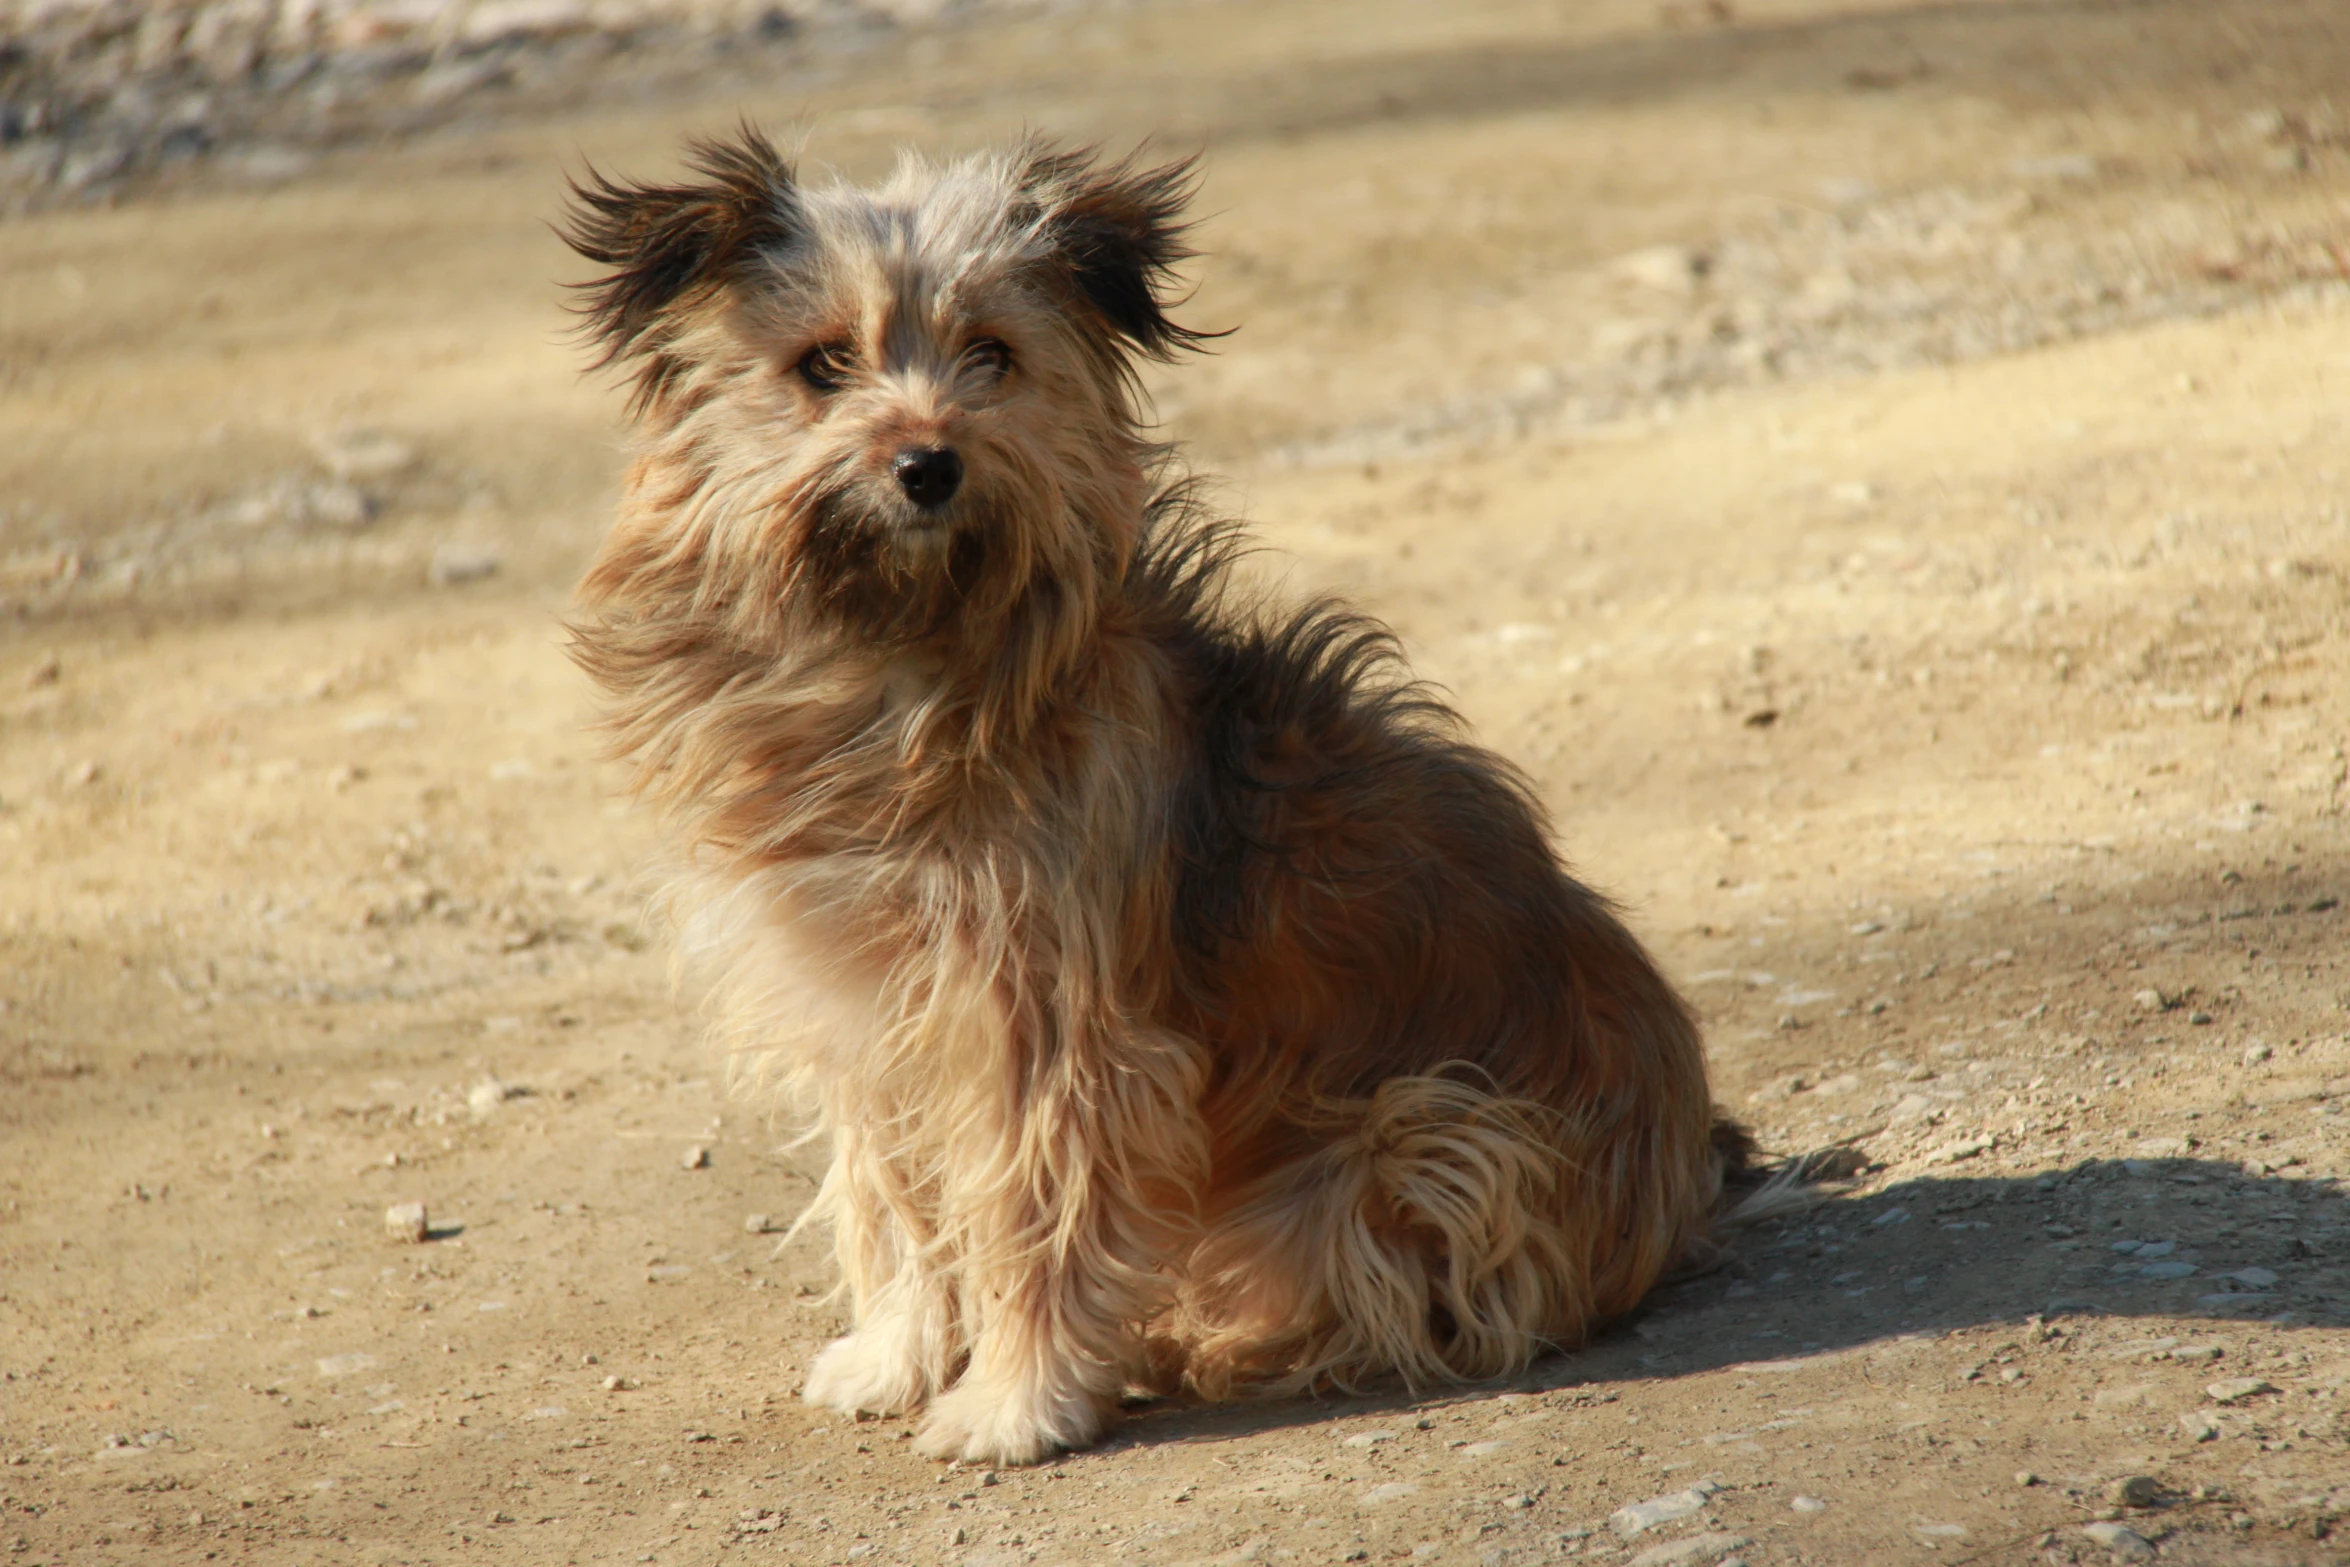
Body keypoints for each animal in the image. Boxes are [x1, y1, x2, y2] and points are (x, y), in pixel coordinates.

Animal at [559, 135, 1757, 1475]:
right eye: (822, 364)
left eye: (991, 354)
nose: (928, 464)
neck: (897, 661)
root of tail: (1685, 1171)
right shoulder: (868, 1011)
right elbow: (892, 1196)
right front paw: (896, 1356)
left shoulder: (1047, 1024)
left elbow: (1031, 1208)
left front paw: (1015, 1401)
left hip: (1432, 1134)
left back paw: (1197, 1339)